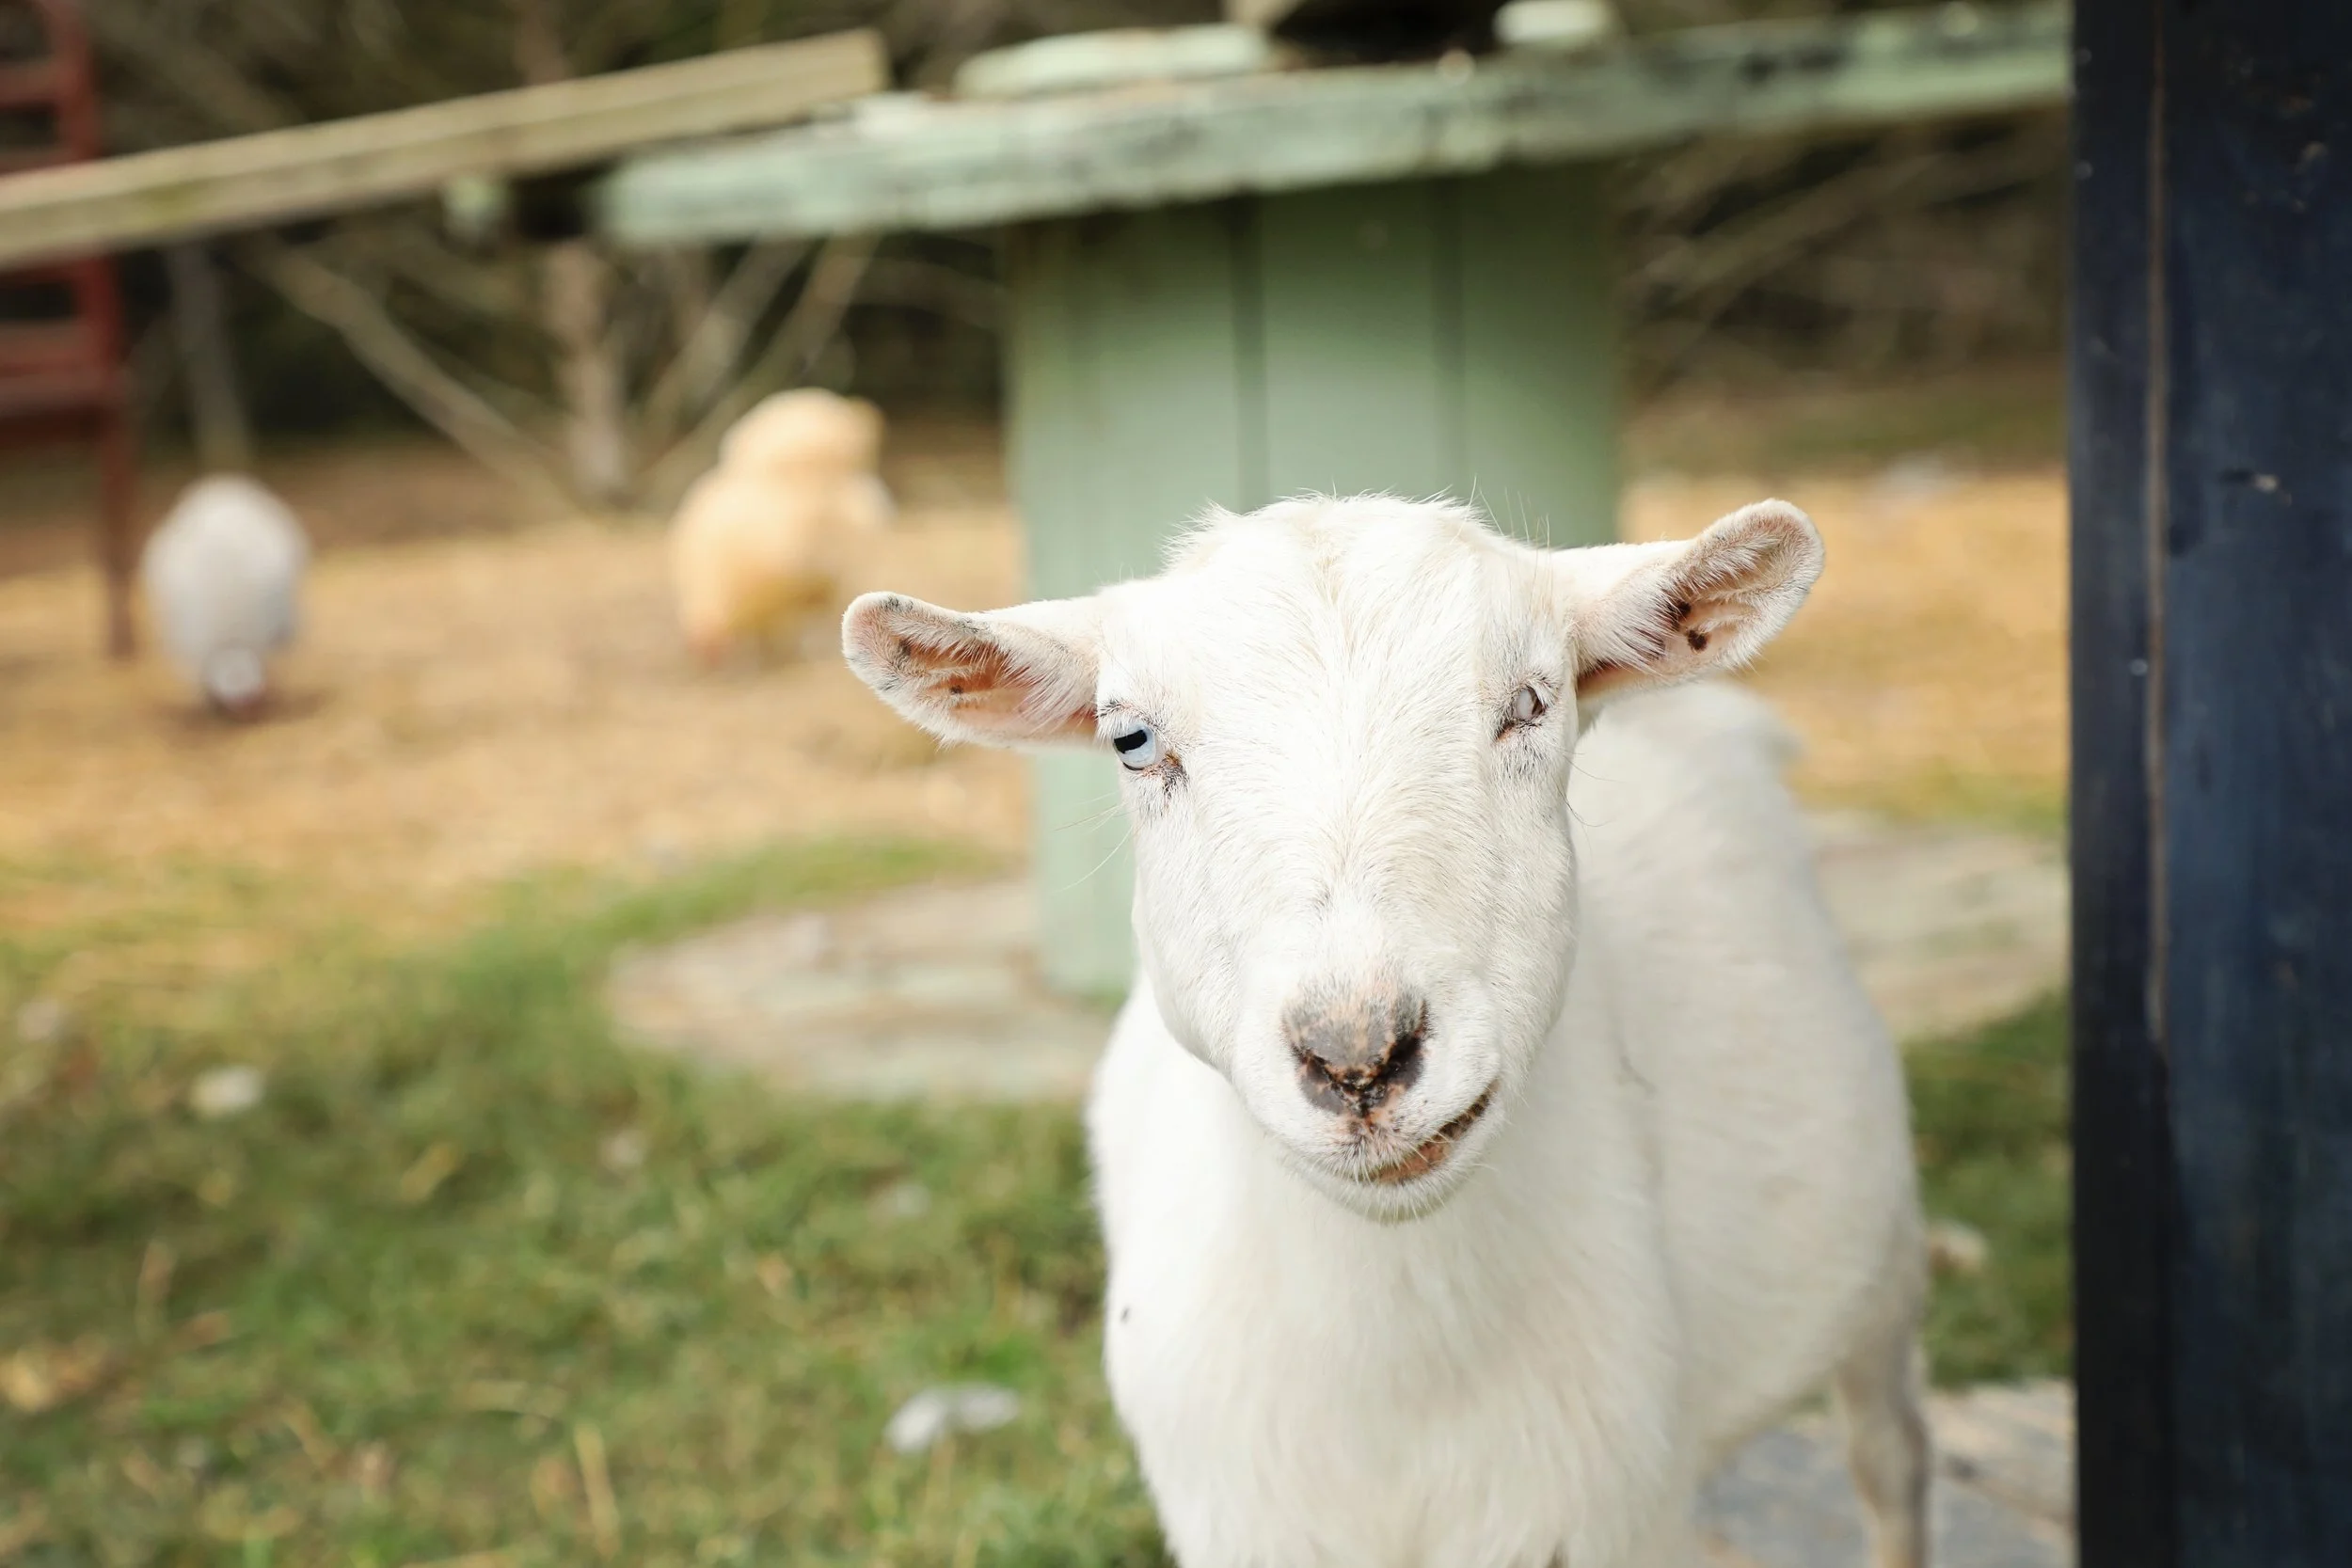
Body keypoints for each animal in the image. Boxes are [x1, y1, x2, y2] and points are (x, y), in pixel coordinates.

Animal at [842, 495, 1928, 1568]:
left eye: (1532, 701)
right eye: (1132, 740)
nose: (1357, 1052)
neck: (1395, 1355)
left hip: (1882, 1280)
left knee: (1890, 1464)